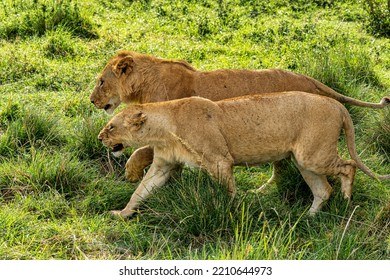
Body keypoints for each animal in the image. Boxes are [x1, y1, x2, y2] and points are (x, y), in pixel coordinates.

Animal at [90, 50, 390, 184]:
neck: (145, 84)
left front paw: (131, 173)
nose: (92, 100)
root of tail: (311, 80)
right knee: (282, 167)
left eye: (102, 82)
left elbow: (141, 151)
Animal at [98, 92, 390, 219]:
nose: (100, 137)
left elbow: (227, 192)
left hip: (314, 155)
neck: (164, 127)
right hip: (305, 161)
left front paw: (228, 211)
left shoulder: (220, 160)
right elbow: (141, 191)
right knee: (323, 189)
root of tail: (338, 104)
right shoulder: (163, 165)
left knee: (349, 166)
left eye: (111, 126)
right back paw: (309, 216)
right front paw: (122, 213)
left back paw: (346, 200)